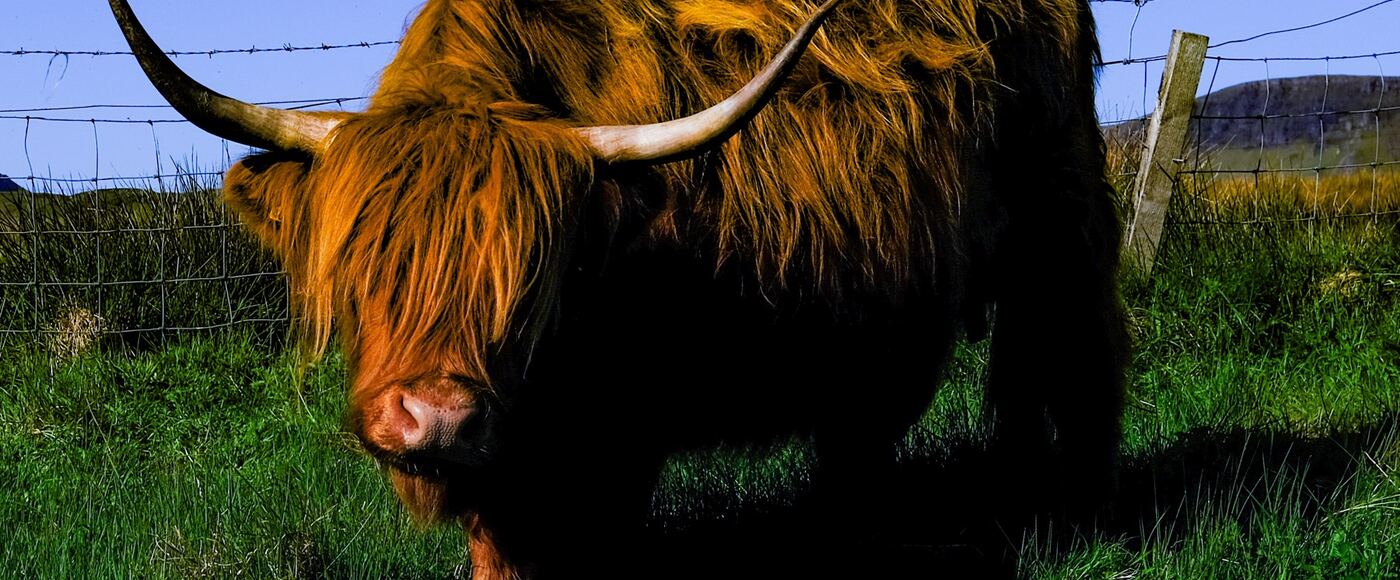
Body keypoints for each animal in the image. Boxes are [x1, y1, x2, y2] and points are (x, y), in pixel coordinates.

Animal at [112, 0, 1130, 576]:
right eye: (370, 264)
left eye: (530, 282)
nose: (435, 420)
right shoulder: (509, 450)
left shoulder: (631, 419)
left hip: (1065, 218)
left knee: (1081, 357)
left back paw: (1078, 513)